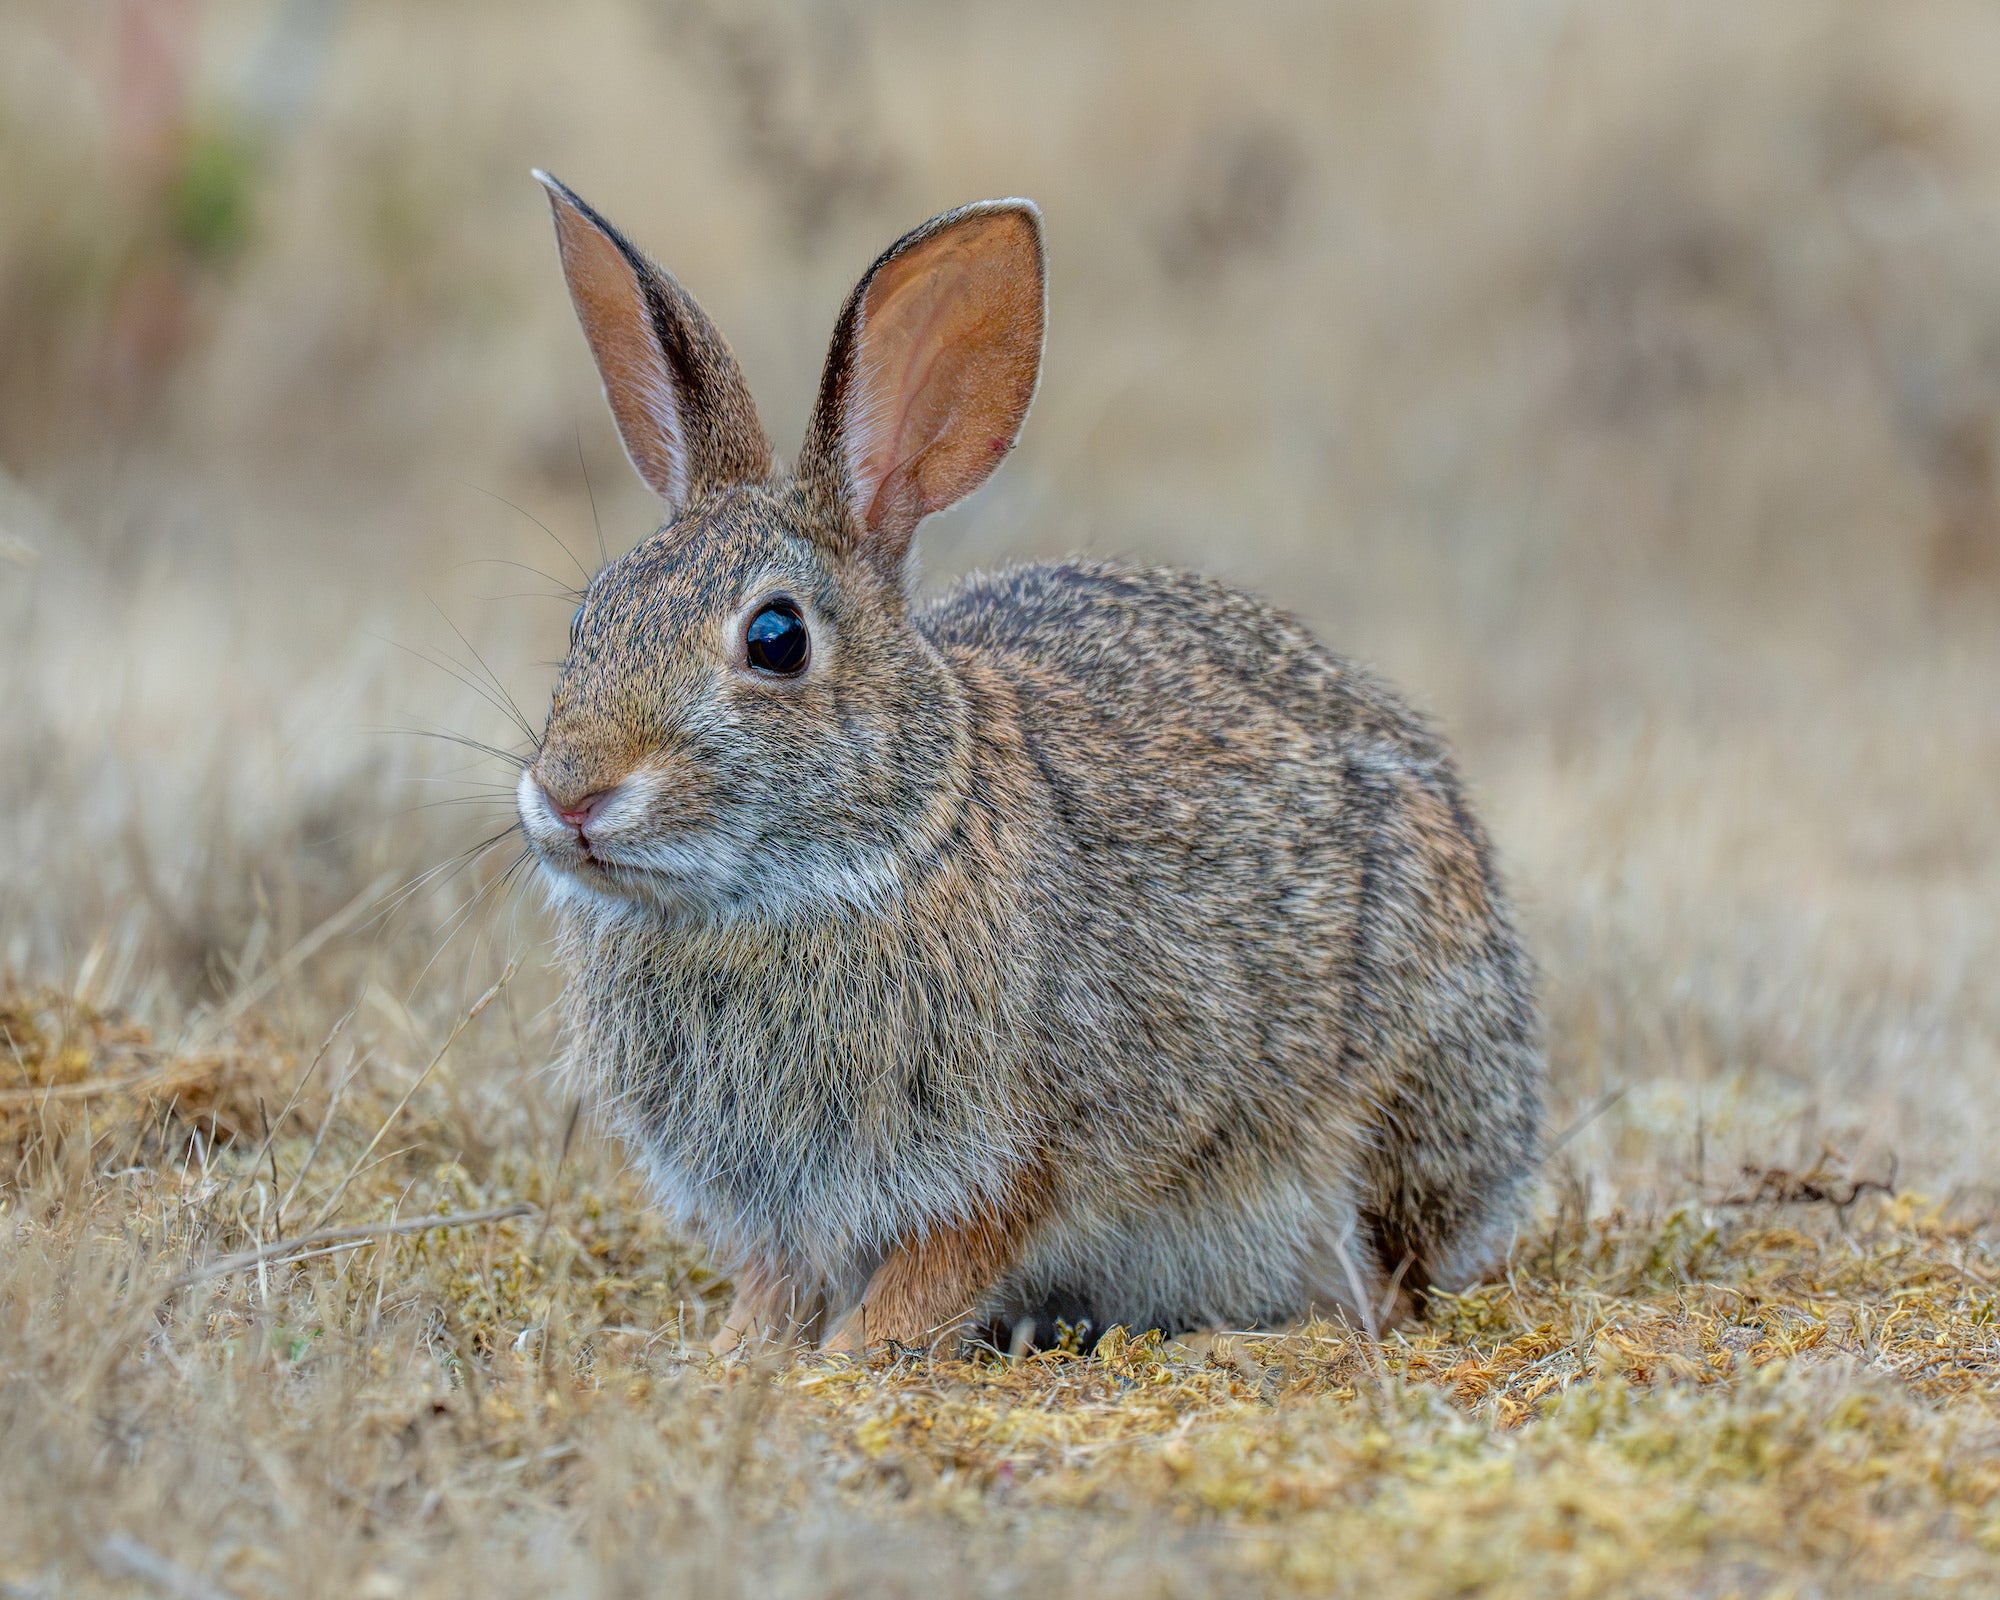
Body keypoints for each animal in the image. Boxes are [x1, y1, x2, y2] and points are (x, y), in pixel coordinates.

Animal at [516, 171, 1544, 1356]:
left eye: (775, 638)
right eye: (587, 618)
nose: (569, 794)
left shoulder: (1017, 1150)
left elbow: (942, 1263)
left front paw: (848, 1357)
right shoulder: (775, 1204)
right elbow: (773, 1277)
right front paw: (734, 1353)